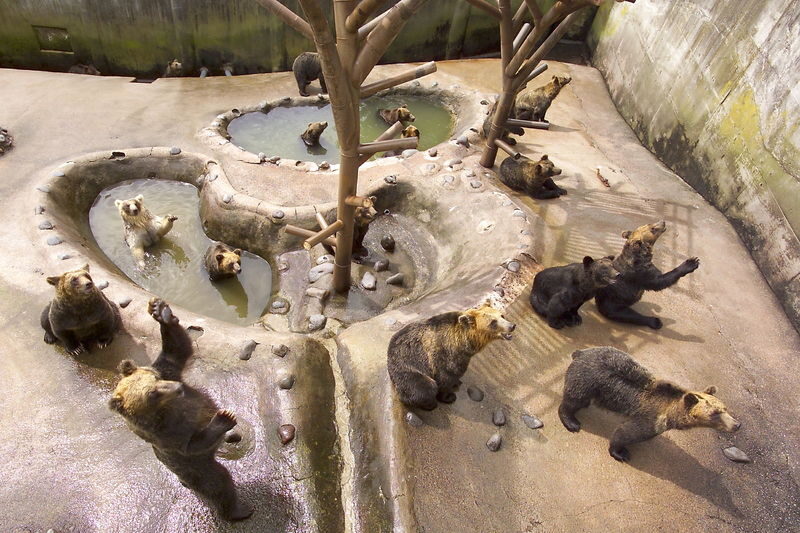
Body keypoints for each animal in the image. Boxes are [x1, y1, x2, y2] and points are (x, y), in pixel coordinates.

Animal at [108, 298, 253, 521]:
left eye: (156, 379)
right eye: (152, 394)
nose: (178, 388)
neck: (164, 409)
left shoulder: (169, 371)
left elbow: (177, 351)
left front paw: (160, 312)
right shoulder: (167, 433)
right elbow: (191, 443)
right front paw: (223, 418)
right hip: (194, 467)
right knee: (217, 483)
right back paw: (239, 510)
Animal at [387, 303, 516, 410]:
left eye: (502, 315)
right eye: (493, 322)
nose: (512, 326)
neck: (466, 342)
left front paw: (457, 382)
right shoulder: (446, 354)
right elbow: (446, 377)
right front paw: (449, 397)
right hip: (406, 370)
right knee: (424, 387)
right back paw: (430, 404)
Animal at [558, 346, 740, 462]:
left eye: (725, 409)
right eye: (715, 413)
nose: (737, 425)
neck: (672, 411)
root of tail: (581, 352)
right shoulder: (652, 418)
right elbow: (627, 432)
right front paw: (621, 453)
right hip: (587, 379)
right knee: (574, 398)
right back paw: (571, 421)